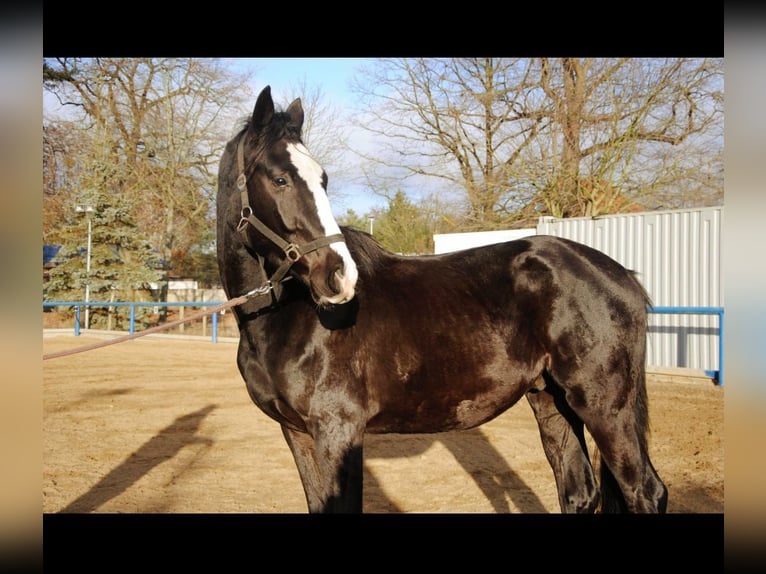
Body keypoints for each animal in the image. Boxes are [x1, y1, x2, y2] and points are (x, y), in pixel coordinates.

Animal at [215, 85, 668, 514]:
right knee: (579, 492)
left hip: (605, 407)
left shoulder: (338, 432)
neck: (286, 318)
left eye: (322, 179)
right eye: (280, 179)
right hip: (552, 400)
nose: (339, 275)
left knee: (645, 491)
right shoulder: (298, 433)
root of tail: (621, 275)